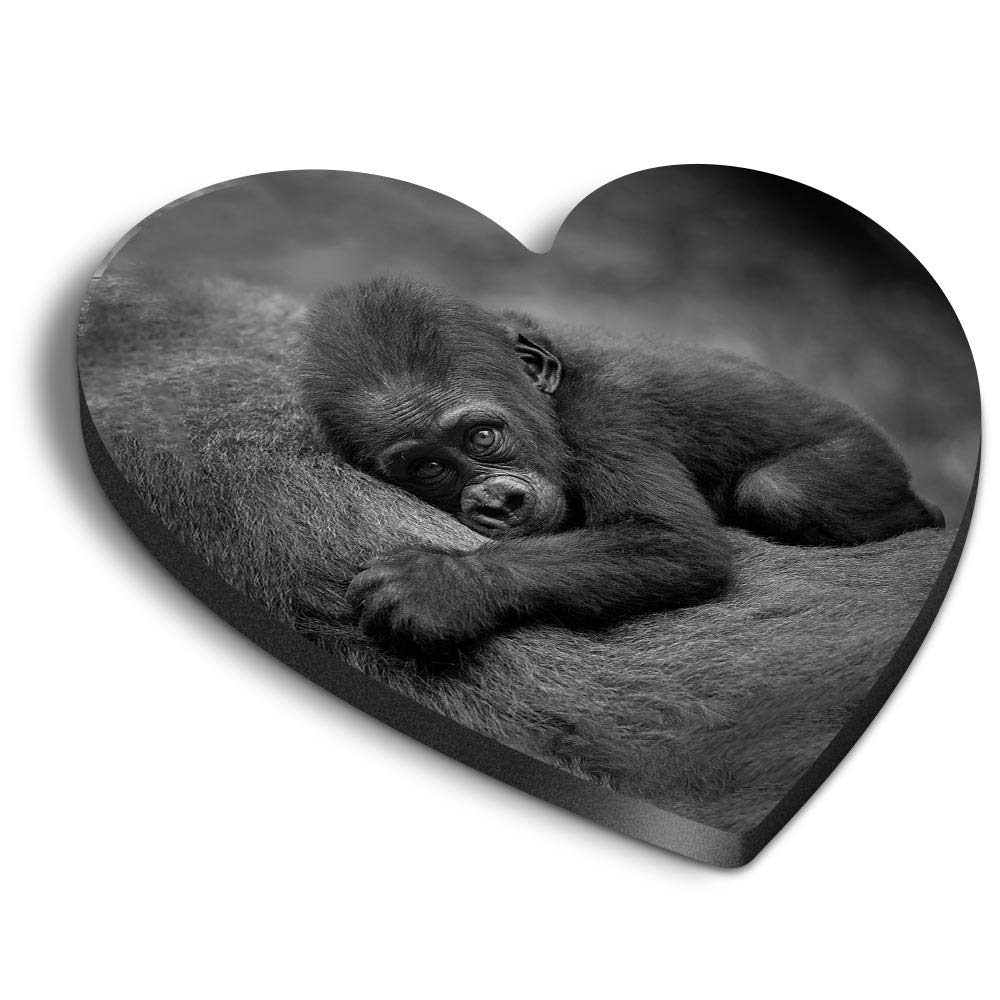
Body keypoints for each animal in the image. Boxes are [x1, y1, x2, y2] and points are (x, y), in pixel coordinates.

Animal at [298, 277, 943, 653]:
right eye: (428, 469)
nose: (496, 502)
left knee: (782, 491)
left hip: (866, 454)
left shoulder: (611, 412)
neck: (552, 393)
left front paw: (447, 584)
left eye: (482, 436)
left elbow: (673, 543)